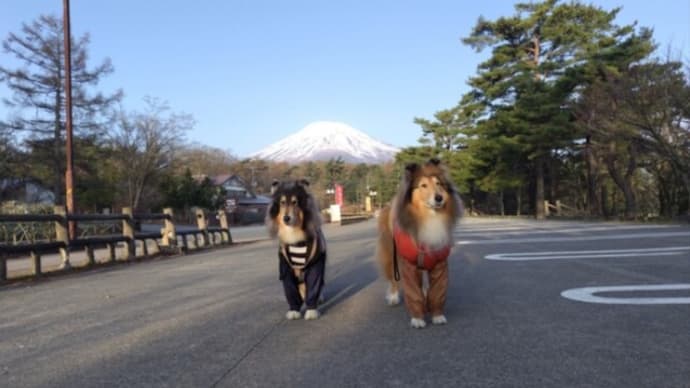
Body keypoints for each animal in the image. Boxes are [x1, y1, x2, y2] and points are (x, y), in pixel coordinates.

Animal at [264, 180, 326, 320]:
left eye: (295, 202)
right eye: (282, 203)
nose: (286, 218)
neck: (294, 236)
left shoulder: (315, 264)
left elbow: (313, 286)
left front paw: (311, 311)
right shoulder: (286, 268)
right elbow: (291, 291)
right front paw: (294, 311)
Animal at [376, 159, 462, 328]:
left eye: (438, 183)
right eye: (423, 185)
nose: (439, 198)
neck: (429, 217)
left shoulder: (439, 263)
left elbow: (437, 292)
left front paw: (437, 316)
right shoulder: (408, 264)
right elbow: (412, 292)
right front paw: (417, 319)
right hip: (391, 254)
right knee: (393, 278)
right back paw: (394, 297)